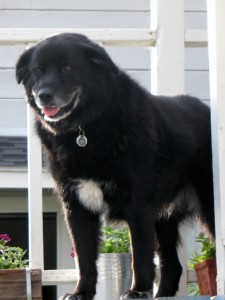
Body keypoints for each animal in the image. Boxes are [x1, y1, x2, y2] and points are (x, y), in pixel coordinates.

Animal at [16, 33, 214, 300]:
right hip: (164, 219)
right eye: (38, 70)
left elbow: (139, 255)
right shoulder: (76, 206)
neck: (84, 129)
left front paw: (138, 291)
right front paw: (81, 292)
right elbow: (84, 258)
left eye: (67, 67)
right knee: (173, 266)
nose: (43, 95)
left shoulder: (138, 205)